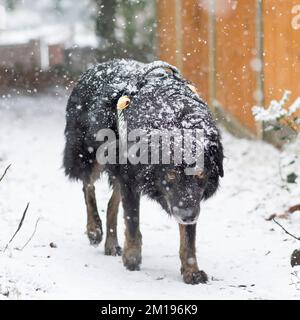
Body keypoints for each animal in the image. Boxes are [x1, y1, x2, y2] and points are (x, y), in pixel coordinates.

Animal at [63, 60, 223, 284]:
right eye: (171, 175)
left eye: (200, 174)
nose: (187, 216)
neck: (174, 117)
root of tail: (97, 66)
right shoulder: (132, 180)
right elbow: (132, 220)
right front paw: (131, 257)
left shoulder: (190, 200)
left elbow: (188, 238)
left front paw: (191, 270)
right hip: (91, 155)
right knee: (88, 186)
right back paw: (94, 229)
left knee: (111, 203)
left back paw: (110, 243)